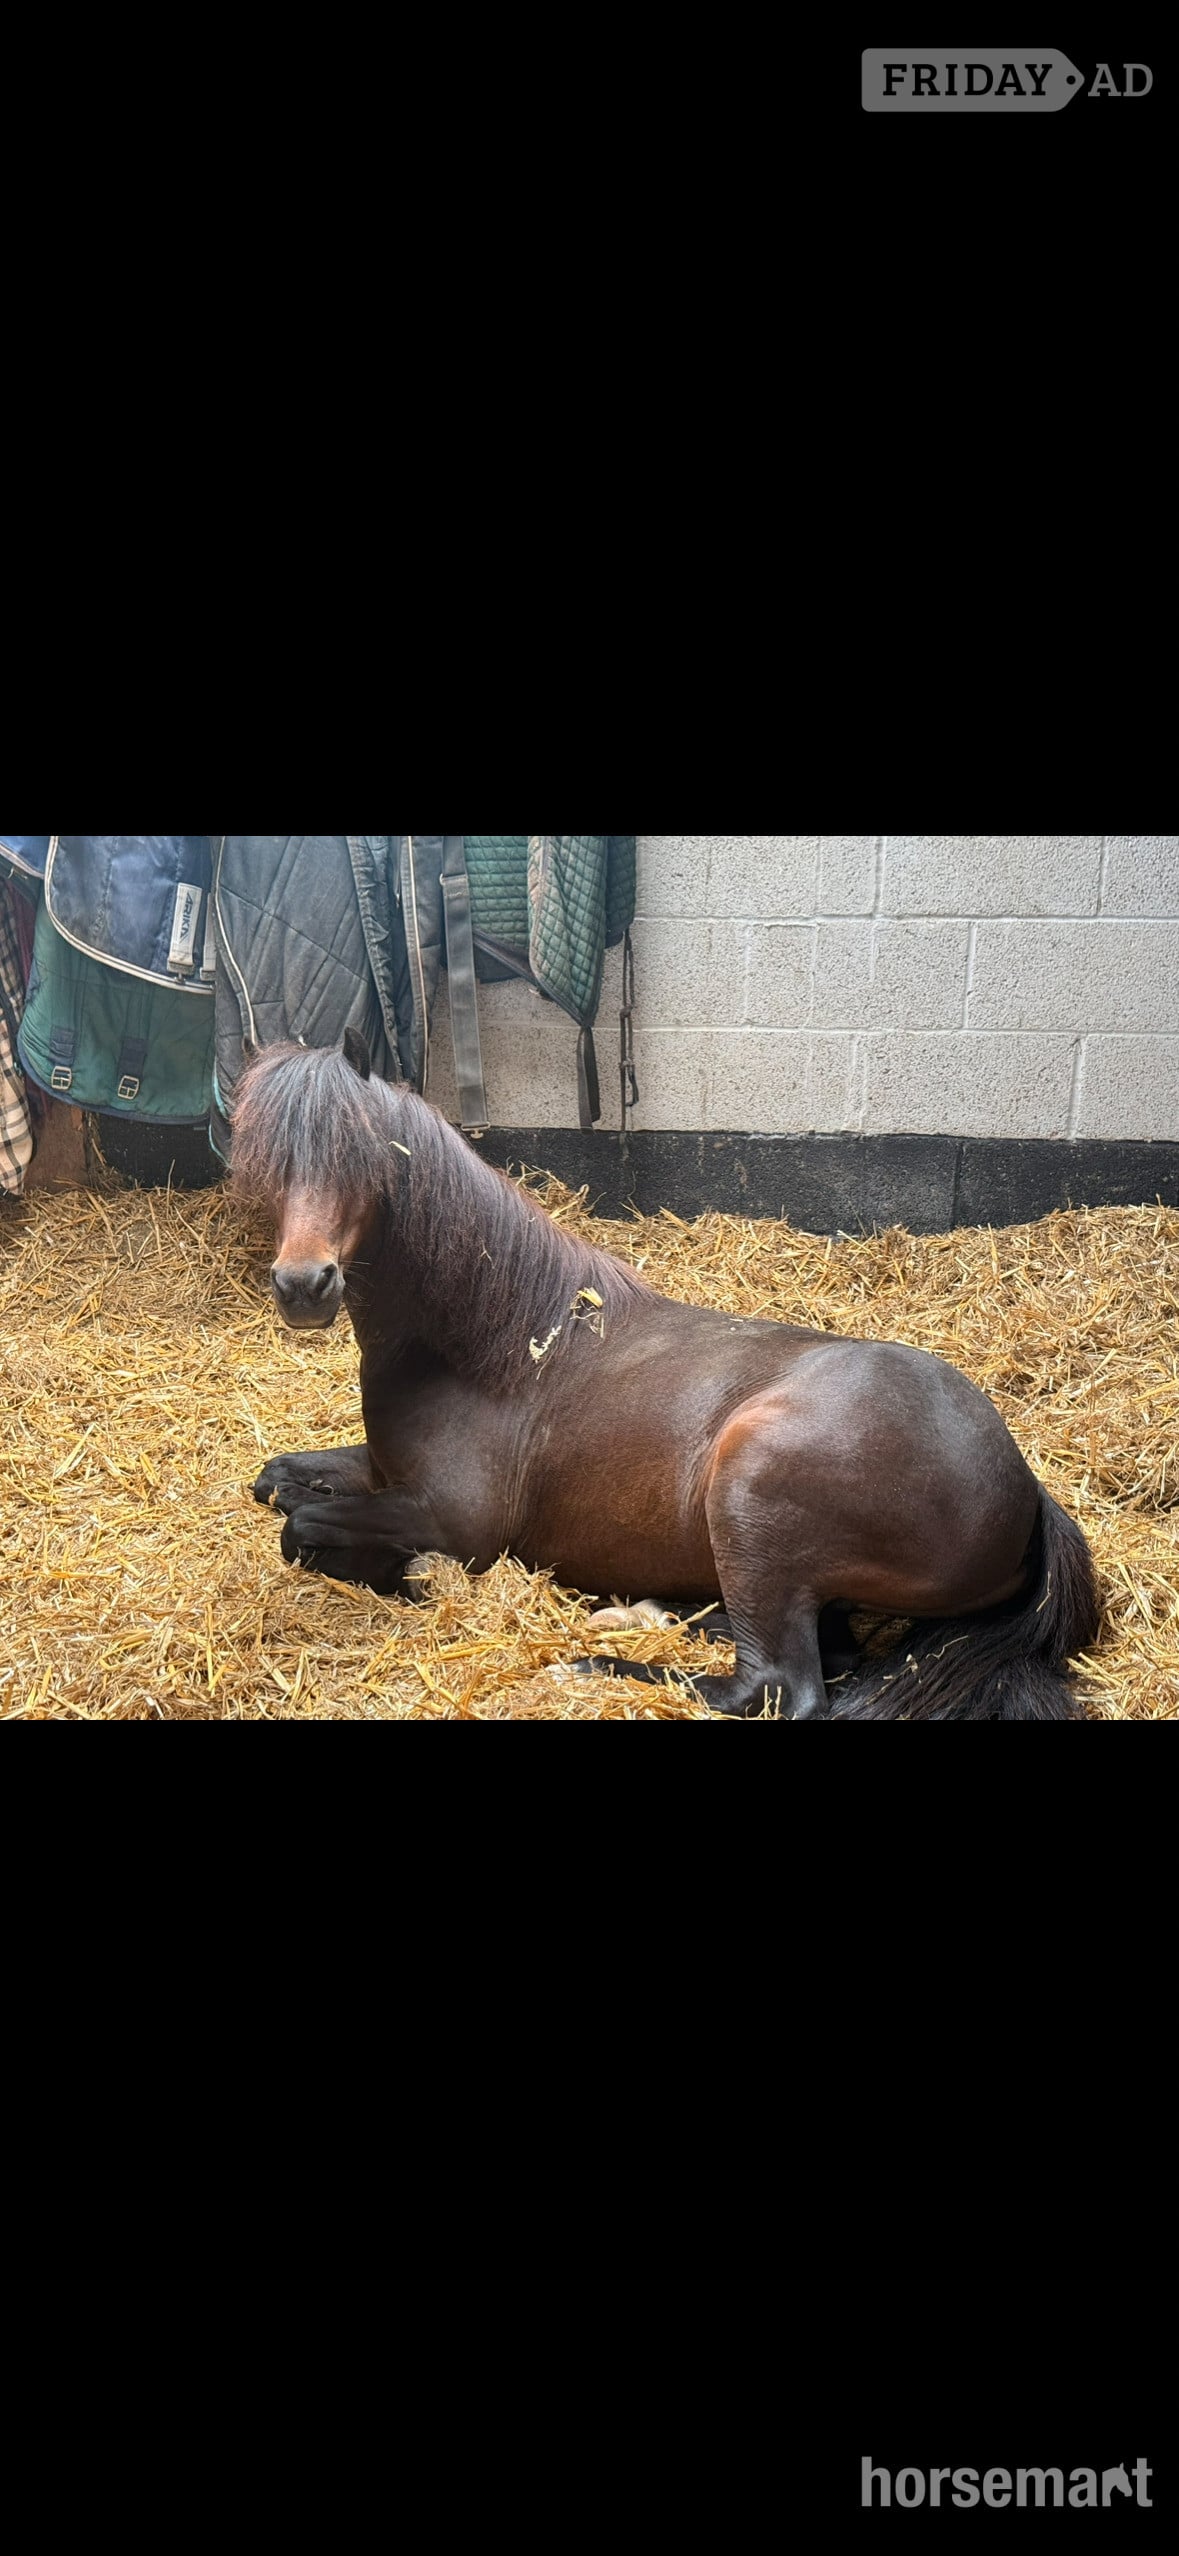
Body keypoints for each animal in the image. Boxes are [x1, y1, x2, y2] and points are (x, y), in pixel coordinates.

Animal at [230, 1034, 1101, 1720]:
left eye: (364, 1152)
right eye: (267, 1161)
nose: (303, 1285)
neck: (492, 1345)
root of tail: (1024, 1489)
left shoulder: (453, 1519)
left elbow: (300, 1530)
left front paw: (406, 1574)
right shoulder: (387, 1472)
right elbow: (280, 1481)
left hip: (750, 1493)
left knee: (774, 1687)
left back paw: (588, 1659)